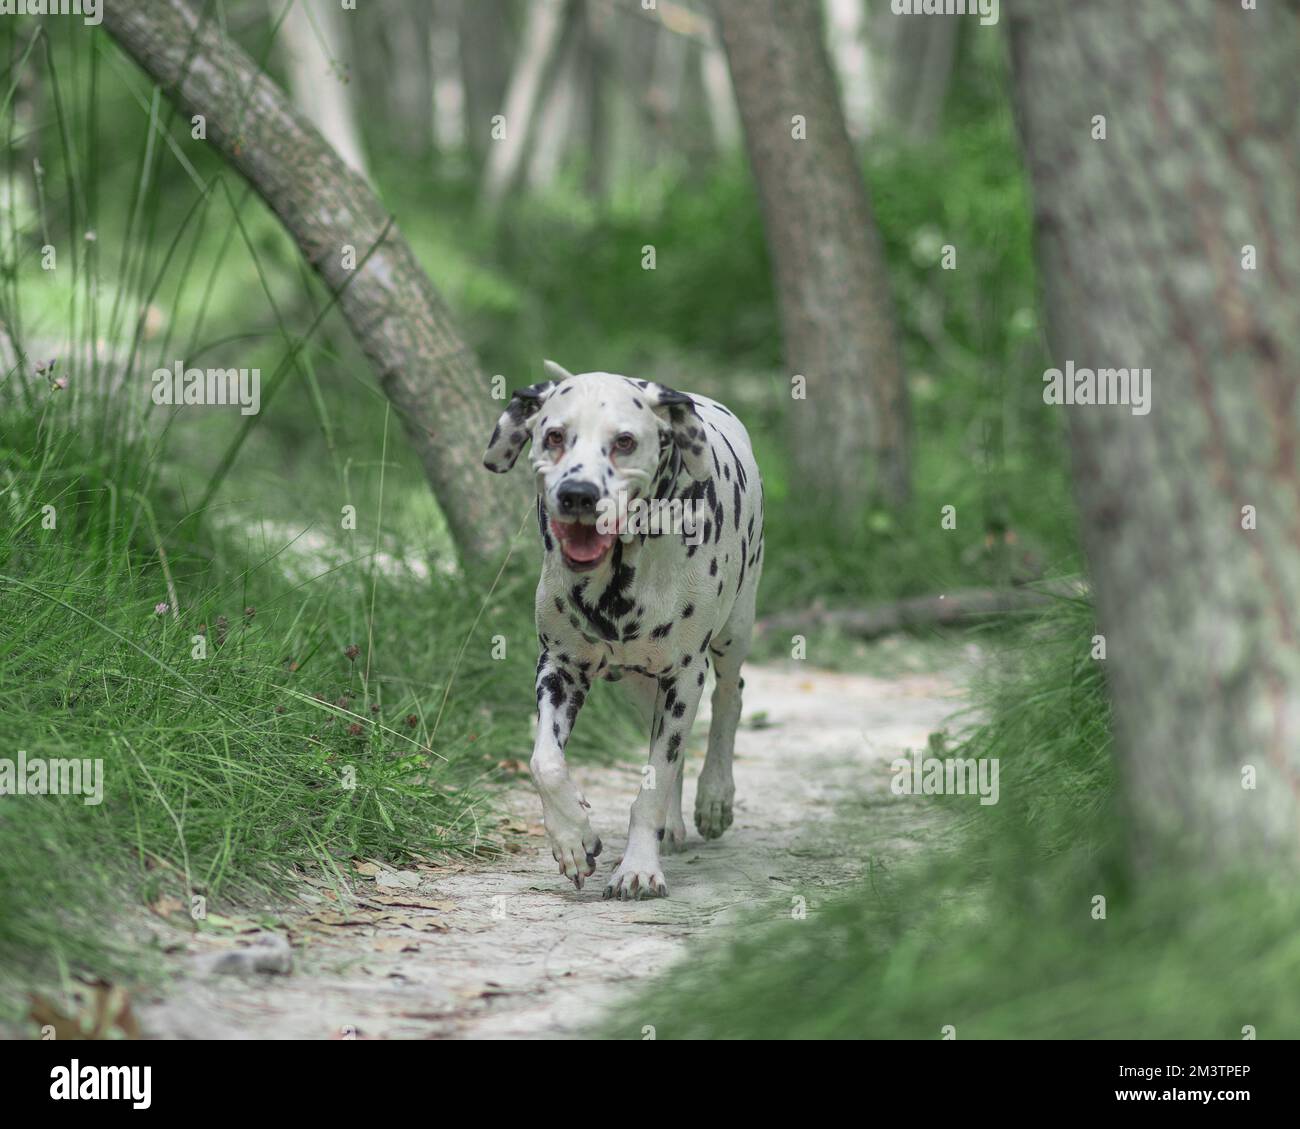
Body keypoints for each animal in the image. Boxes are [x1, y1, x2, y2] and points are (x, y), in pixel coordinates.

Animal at [486, 361, 759, 900]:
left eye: (625, 441)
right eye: (554, 435)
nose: (578, 494)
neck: (619, 578)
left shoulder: (685, 676)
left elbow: (651, 788)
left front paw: (638, 868)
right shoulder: (560, 669)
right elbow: (546, 763)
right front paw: (572, 837)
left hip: (731, 635)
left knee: (729, 699)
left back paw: (715, 796)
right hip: (639, 685)